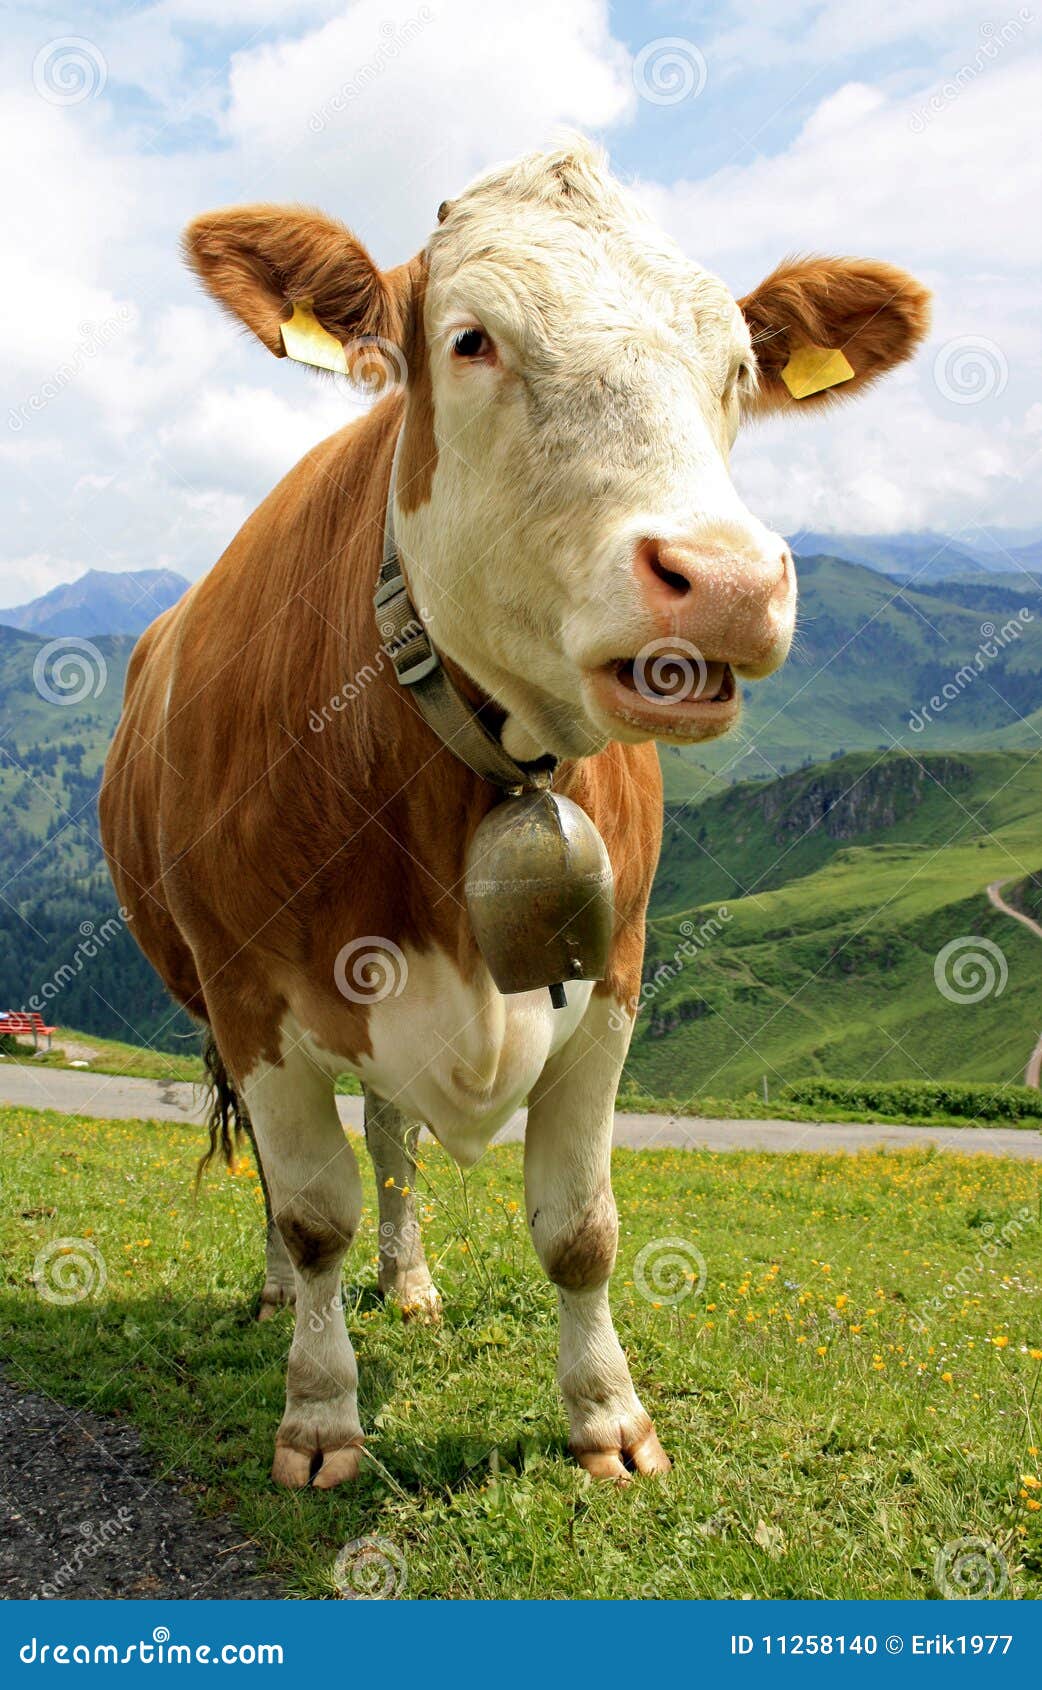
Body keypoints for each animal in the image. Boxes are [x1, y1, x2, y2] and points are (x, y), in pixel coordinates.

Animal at [100, 140, 929, 1490]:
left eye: (738, 367)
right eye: (472, 340)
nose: (725, 582)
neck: (480, 764)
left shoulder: (617, 973)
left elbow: (578, 1225)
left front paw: (607, 1419)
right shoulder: (252, 990)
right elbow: (310, 1209)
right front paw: (320, 1417)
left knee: (392, 1138)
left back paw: (412, 1281)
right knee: (289, 1175)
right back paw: (281, 1300)